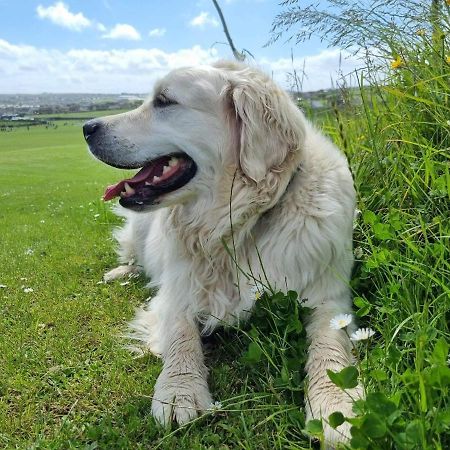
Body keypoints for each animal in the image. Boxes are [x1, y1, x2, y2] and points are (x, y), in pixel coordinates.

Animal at [82, 60, 360, 446]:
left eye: (164, 100)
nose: (86, 127)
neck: (237, 224)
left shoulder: (329, 298)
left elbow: (330, 344)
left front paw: (336, 405)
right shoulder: (176, 293)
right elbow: (181, 337)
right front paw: (179, 391)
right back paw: (121, 272)